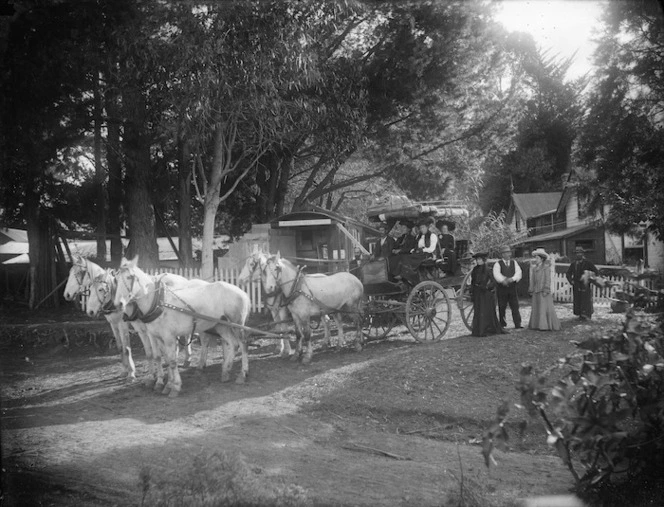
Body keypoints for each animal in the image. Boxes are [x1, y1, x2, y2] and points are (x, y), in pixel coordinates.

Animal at [113, 258, 250, 396]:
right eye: (116, 279)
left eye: (129, 277)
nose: (118, 304)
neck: (158, 303)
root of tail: (242, 292)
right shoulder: (156, 336)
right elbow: (163, 358)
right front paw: (165, 384)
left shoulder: (168, 337)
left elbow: (173, 361)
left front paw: (175, 387)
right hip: (221, 326)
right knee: (233, 344)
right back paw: (226, 371)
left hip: (237, 324)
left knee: (243, 345)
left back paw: (242, 374)